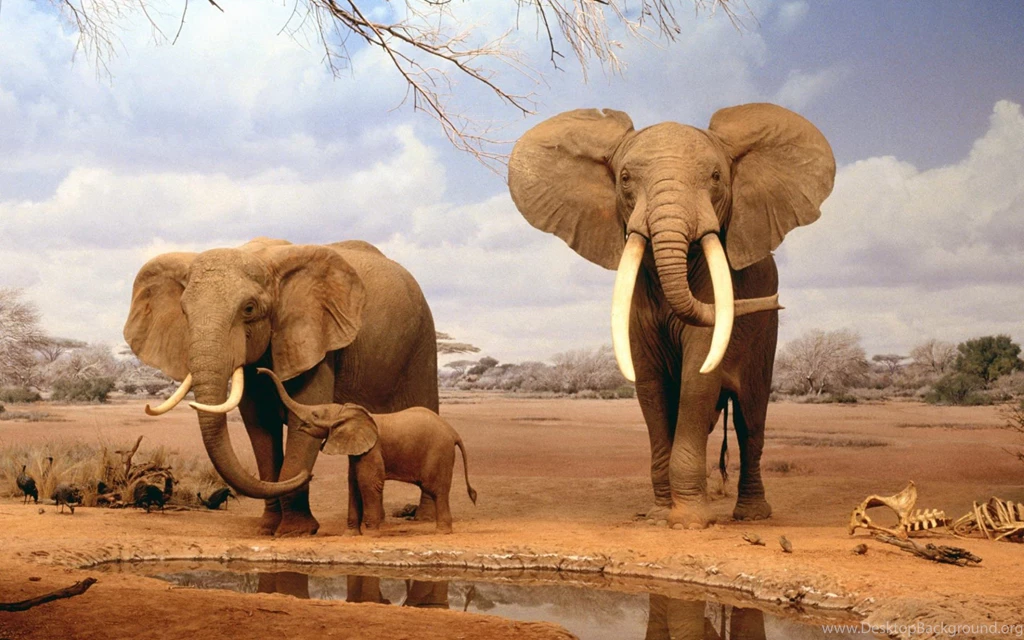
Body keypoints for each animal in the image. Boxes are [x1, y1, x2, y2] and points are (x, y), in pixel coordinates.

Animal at [123, 238, 438, 537]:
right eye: (184, 312)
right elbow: (259, 427)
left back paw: (424, 518)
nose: (308, 475)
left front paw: (295, 532)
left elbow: (303, 419)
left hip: (422, 341)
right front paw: (267, 529)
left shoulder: (315, 341)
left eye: (249, 309)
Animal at [259, 367, 477, 535]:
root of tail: (453, 432)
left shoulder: (372, 450)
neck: (347, 412)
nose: (259, 370)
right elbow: (353, 484)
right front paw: (350, 535)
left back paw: (442, 532)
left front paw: (371, 534)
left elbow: (368, 483)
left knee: (437, 490)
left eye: (315, 414)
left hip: (439, 452)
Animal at [509, 103, 835, 528]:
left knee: (750, 420)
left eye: (716, 177)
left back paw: (751, 516)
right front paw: (658, 515)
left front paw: (689, 522)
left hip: (766, 336)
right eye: (625, 179)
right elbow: (650, 385)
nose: (776, 301)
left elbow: (698, 378)